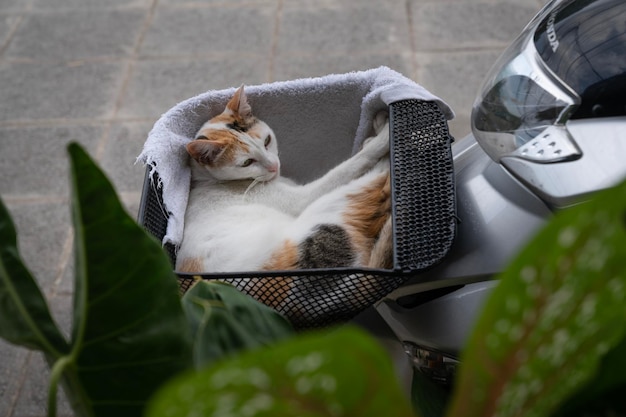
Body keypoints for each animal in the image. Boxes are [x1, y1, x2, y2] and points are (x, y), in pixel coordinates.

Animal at [174, 86, 390, 308]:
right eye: (246, 163)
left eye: (267, 141)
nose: (274, 166)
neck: (207, 180)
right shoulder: (303, 197)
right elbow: (353, 164)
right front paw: (382, 137)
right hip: (330, 211)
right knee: (379, 178)